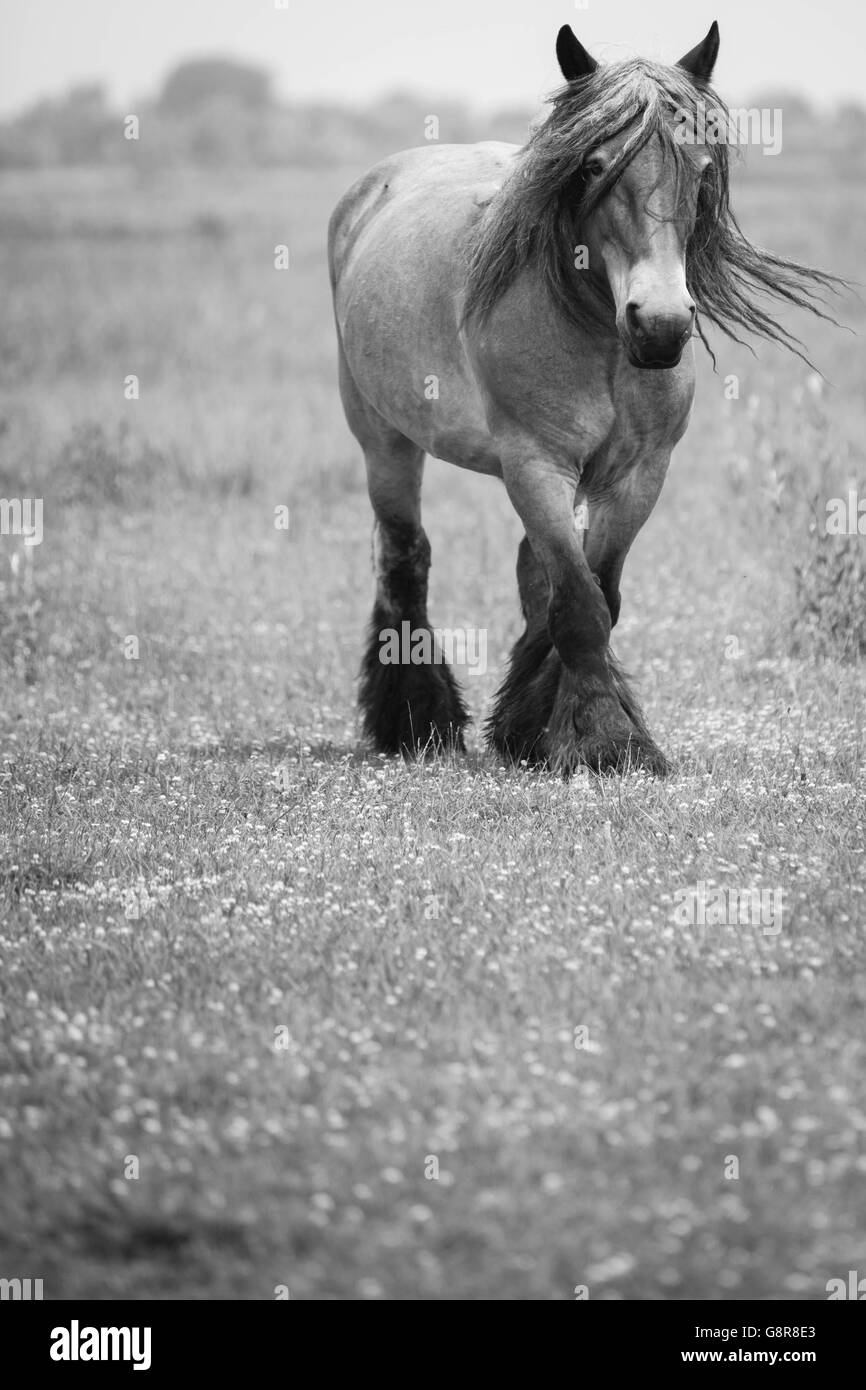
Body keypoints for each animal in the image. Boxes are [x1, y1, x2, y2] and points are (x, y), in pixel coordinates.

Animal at [328, 22, 842, 774]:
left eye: (703, 168)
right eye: (596, 165)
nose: (660, 325)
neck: (599, 336)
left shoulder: (638, 475)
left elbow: (596, 592)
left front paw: (545, 725)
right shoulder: (535, 464)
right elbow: (579, 605)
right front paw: (608, 739)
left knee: (525, 569)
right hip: (383, 439)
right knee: (405, 558)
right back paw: (418, 722)